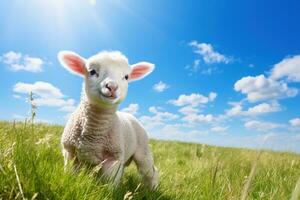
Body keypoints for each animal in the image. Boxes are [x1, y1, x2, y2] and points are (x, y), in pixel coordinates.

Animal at [57, 50, 158, 189]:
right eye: (92, 71)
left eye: (126, 76)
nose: (112, 86)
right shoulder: (70, 152)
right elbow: (71, 175)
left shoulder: (113, 158)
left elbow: (108, 186)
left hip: (143, 150)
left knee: (150, 171)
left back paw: (152, 189)